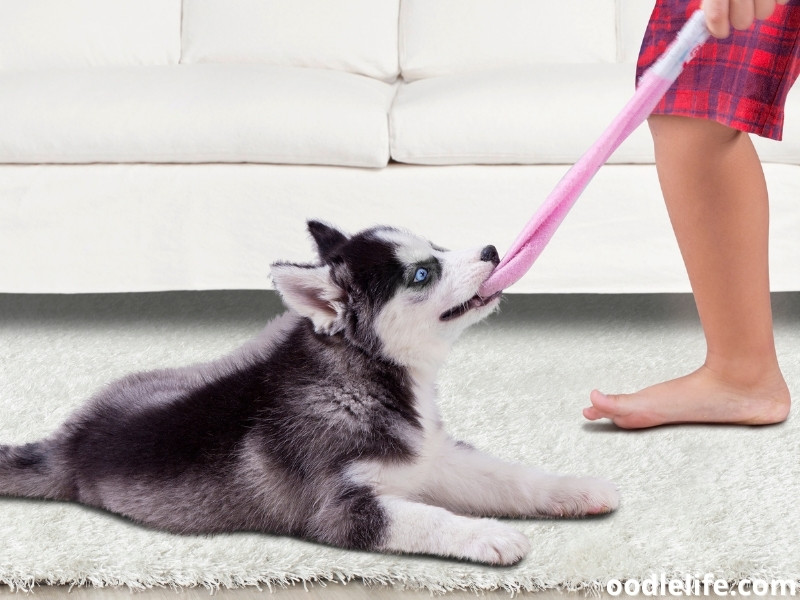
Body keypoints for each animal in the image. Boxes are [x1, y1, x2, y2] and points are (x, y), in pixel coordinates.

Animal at [0, 223, 620, 564]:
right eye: (421, 274)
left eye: (436, 245)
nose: (492, 250)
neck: (366, 378)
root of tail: (69, 441)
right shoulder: (338, 510)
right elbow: (431, 518)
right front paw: (489, 534)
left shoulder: (433, 456)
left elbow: (507, 477)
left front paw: (574, 488)